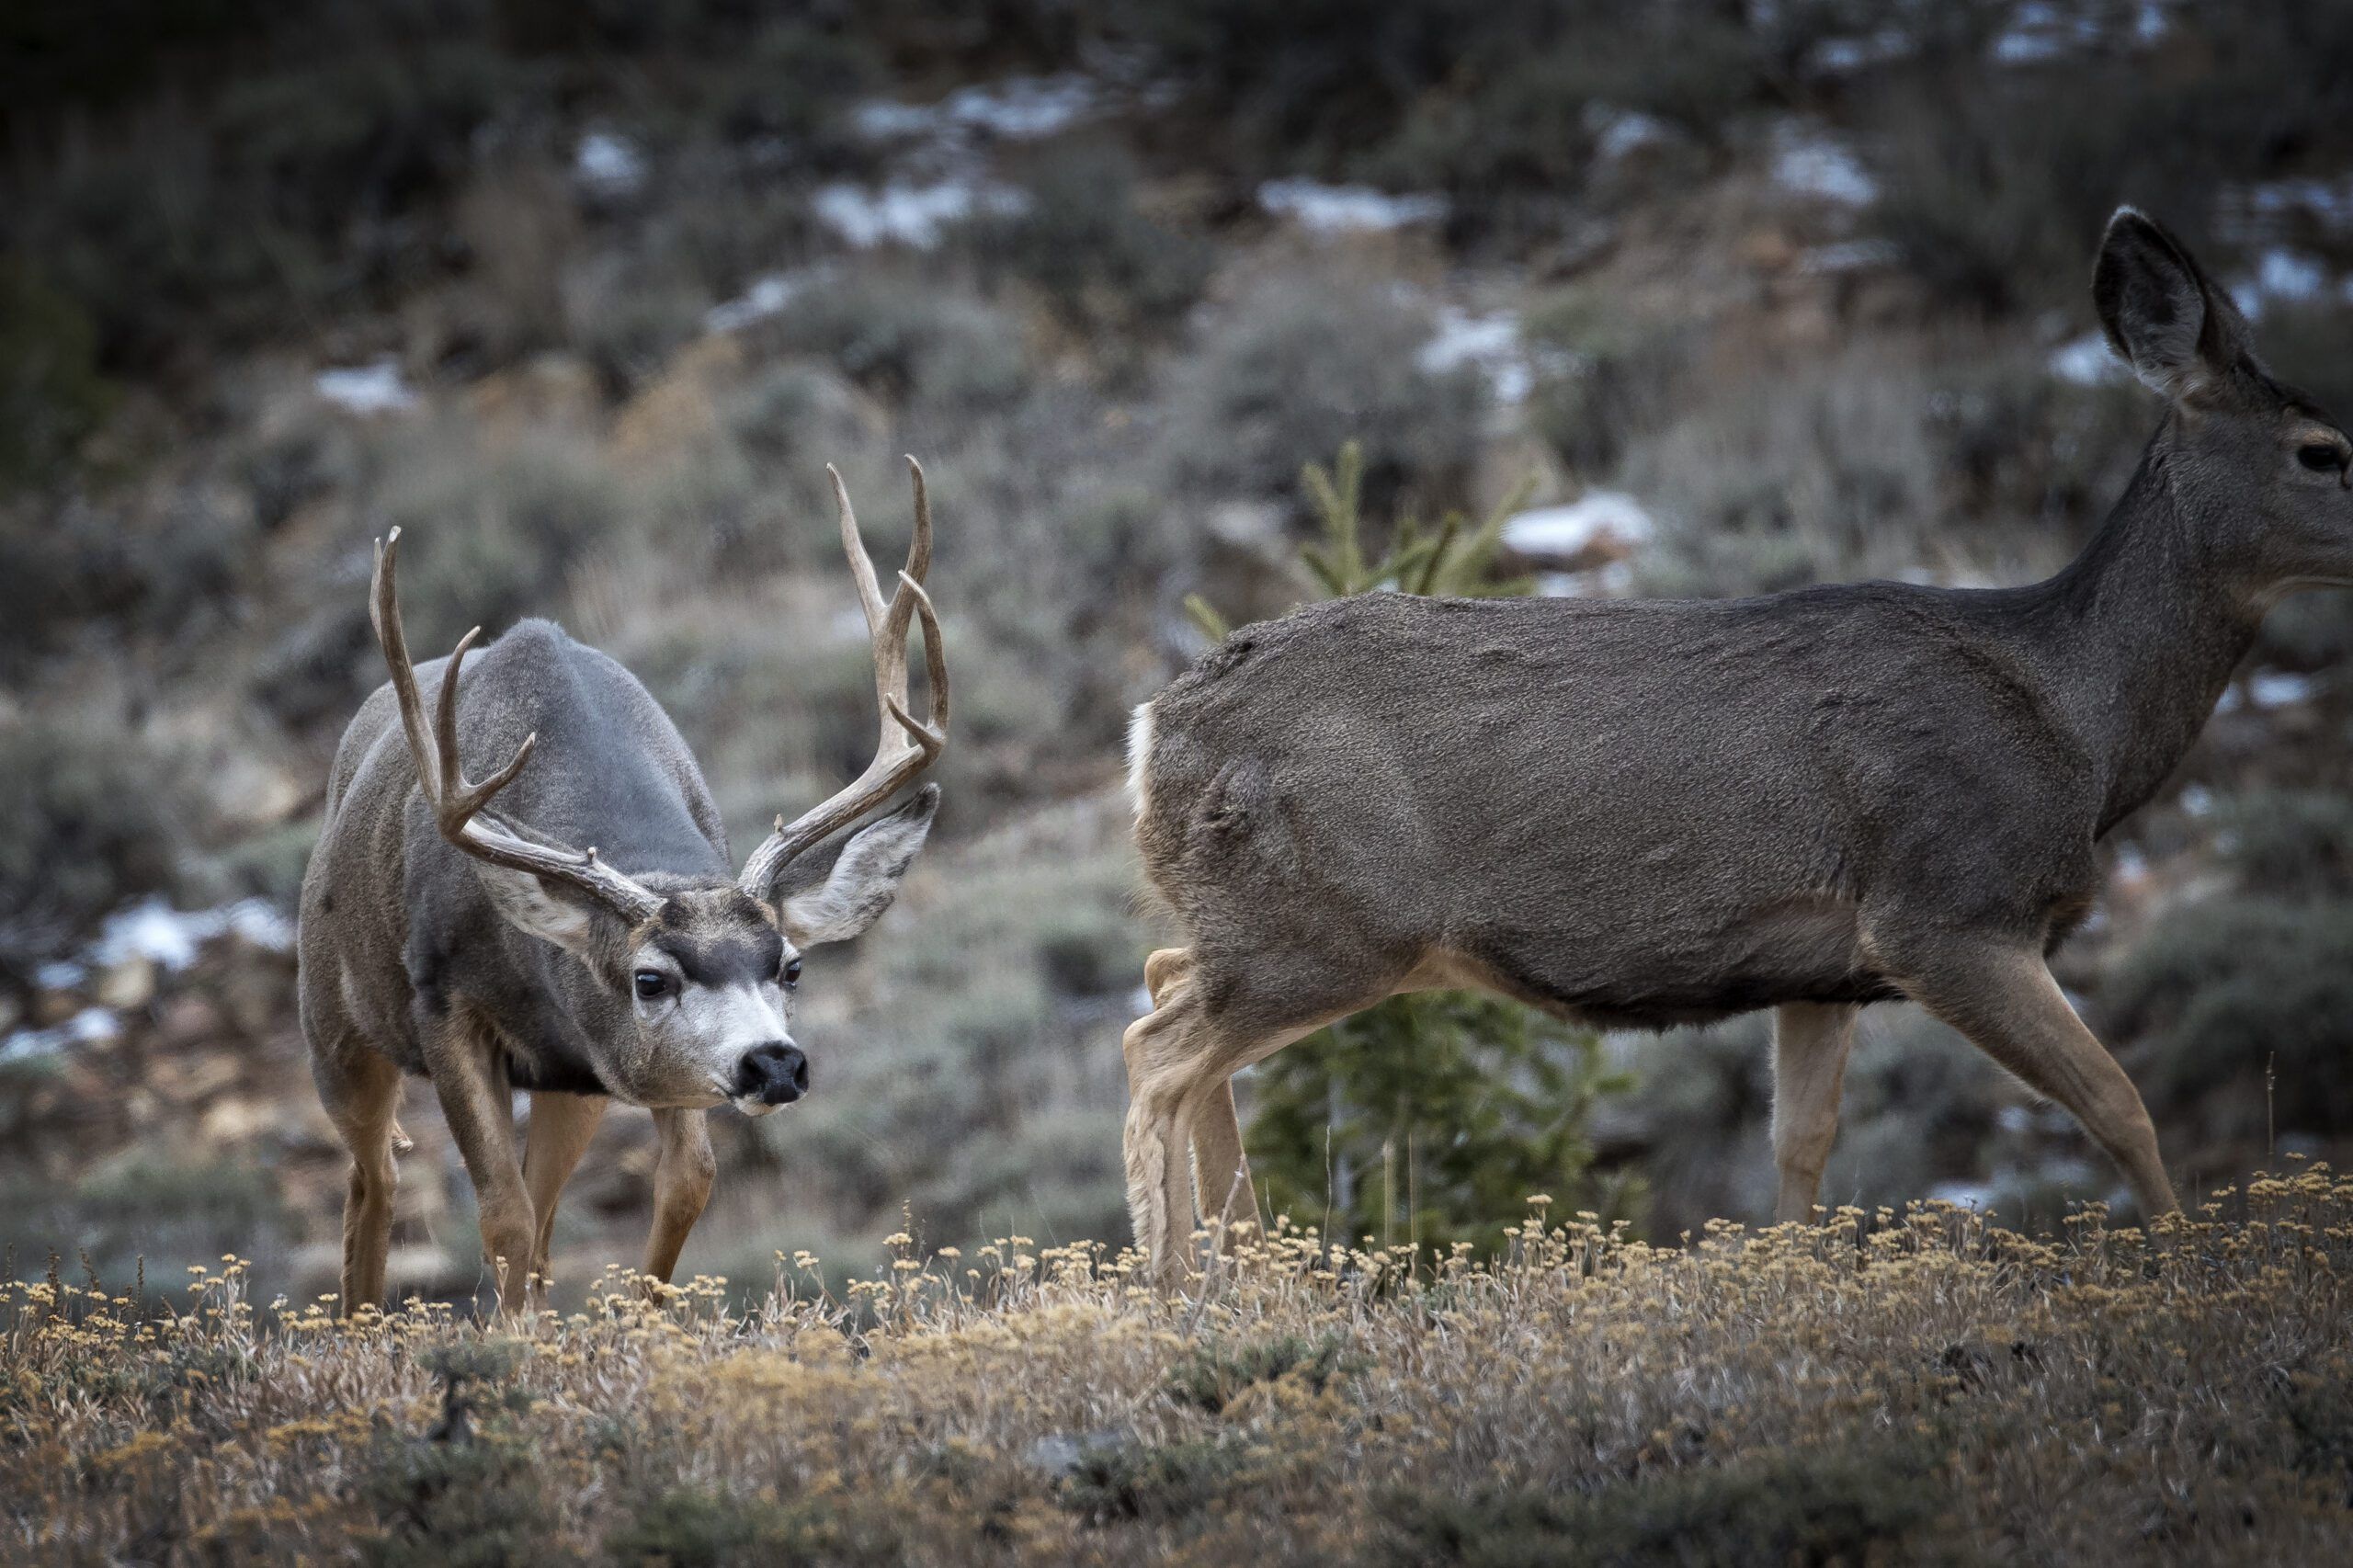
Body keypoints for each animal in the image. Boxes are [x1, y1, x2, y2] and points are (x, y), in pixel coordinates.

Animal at [297, 459, 949, 1314]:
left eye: (792, 966)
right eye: (649, 978)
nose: (773, 1063)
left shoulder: (614, 1071)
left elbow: (686, 1183)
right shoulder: (441, 1003)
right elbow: (500, 1213)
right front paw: (509, 1341)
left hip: (569, 1085)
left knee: (534, 1215)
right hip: (333, 1023)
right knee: (375, 1178)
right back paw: (359, 1323)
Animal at [1121, 209, 2353, 1285]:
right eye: (2323, 450)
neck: (2077, 721)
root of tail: (1154, 728)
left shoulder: (1824, 968)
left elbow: (1800, 1146)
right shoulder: (1950, 906)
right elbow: (2118, 1103)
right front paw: (2194, 1273)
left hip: (1278, 920)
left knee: (1168, 982)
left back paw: (1250, 1274)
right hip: (1334, 919)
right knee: (1155, 1052)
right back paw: (1176, 1288)